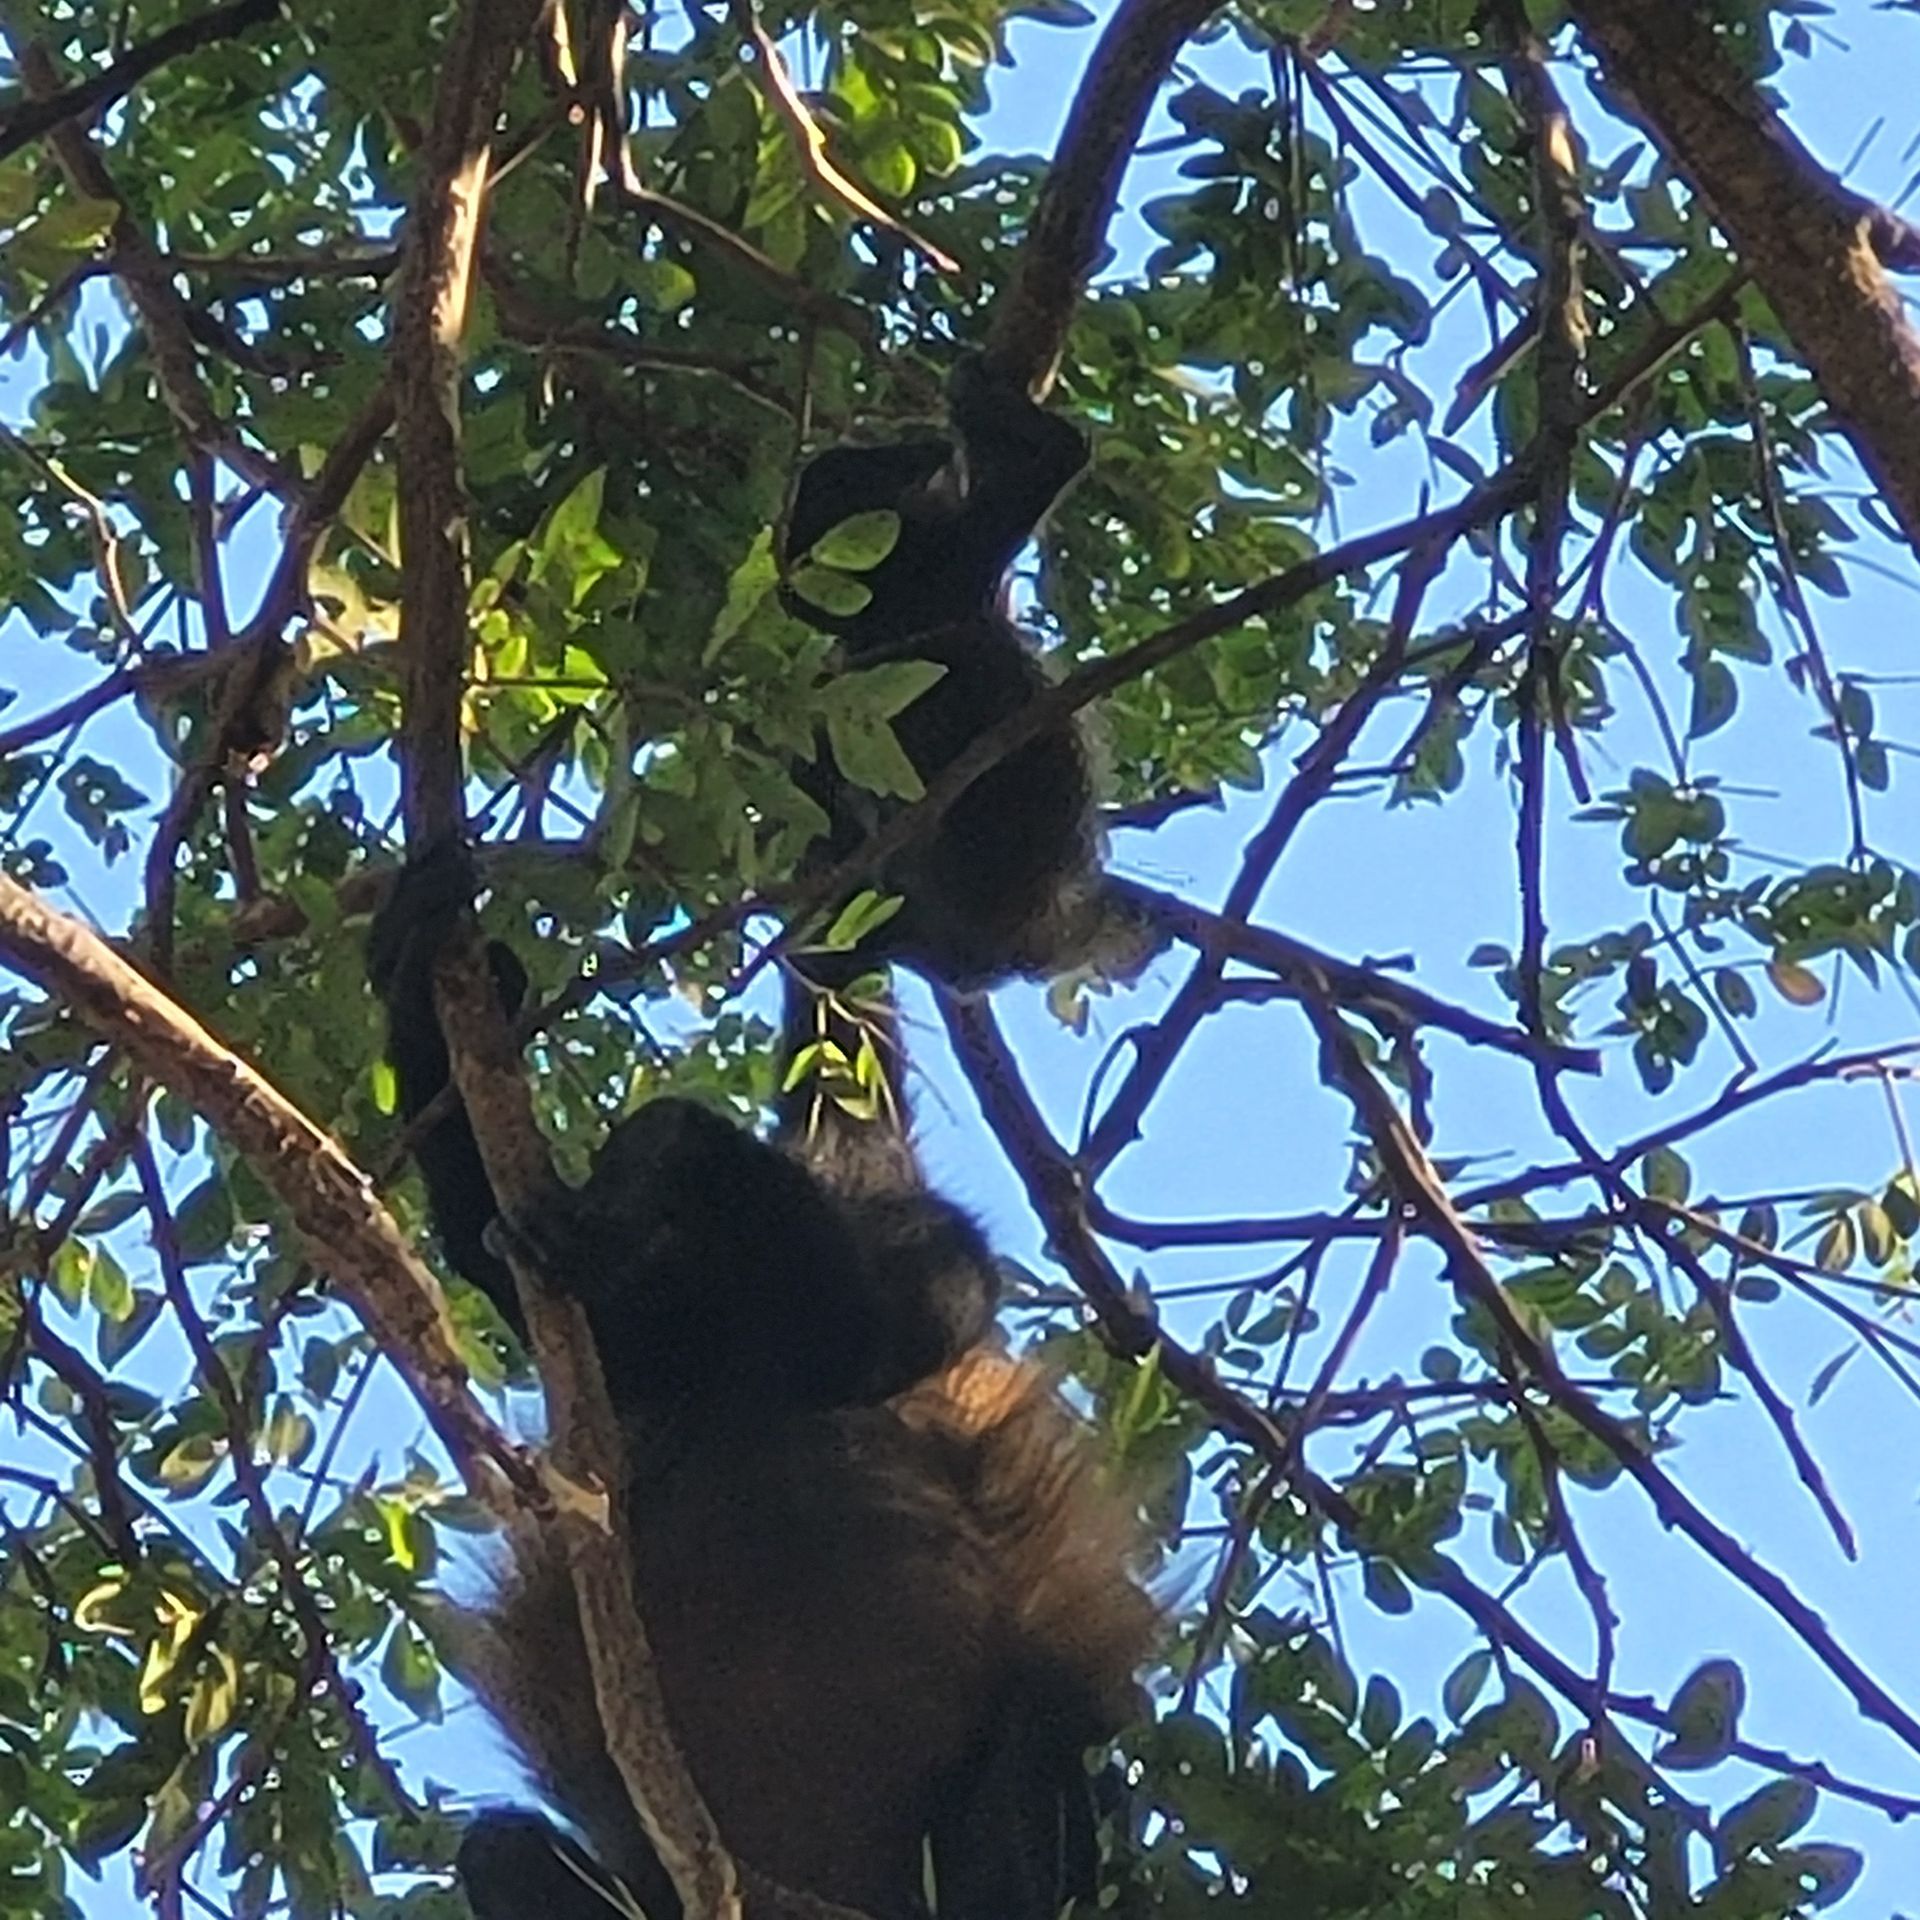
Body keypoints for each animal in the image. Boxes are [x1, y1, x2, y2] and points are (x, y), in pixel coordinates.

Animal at [368, 848, 1157, 1920]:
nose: (642, 1251)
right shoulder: (642, 1346)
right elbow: (500, 1258)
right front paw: (421, 964)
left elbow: (868, 1324)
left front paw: (658, 1156)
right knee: (499, 1854)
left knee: (1032, 1740)